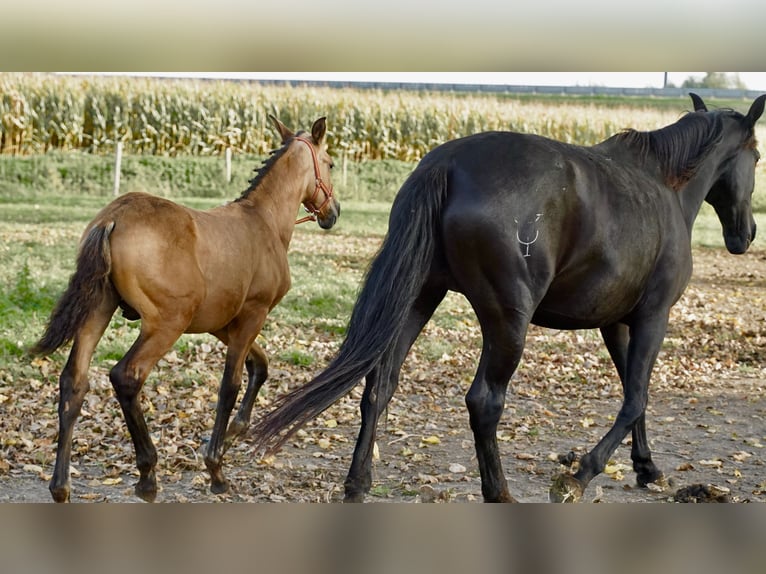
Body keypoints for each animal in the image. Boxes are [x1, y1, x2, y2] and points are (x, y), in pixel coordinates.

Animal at [33, 115, 340, 502]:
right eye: (330, 164)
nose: (333, 213)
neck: (263, 222)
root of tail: (112, 218)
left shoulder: (222, 323)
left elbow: (260, 364)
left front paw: (238, 429)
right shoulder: (252, 315)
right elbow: (230, 384)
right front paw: (216, 467)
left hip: (98, 311)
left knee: (74, 382)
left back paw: (61, 487)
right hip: (166, 324)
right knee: (126, 376)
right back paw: (147, 474)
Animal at [254, 94, 766, 504]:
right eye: (758, 156)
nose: (746, 235)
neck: (664, 187)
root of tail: (448, 163)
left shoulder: (618, 322)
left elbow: (632, 392)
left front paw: (647, 468)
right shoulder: (653, 317)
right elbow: (636, 398)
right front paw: (579, 476)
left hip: (421, 296)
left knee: (380, 386)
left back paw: (358, 485)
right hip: (506, 321)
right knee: (484, 402)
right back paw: (498, 493)